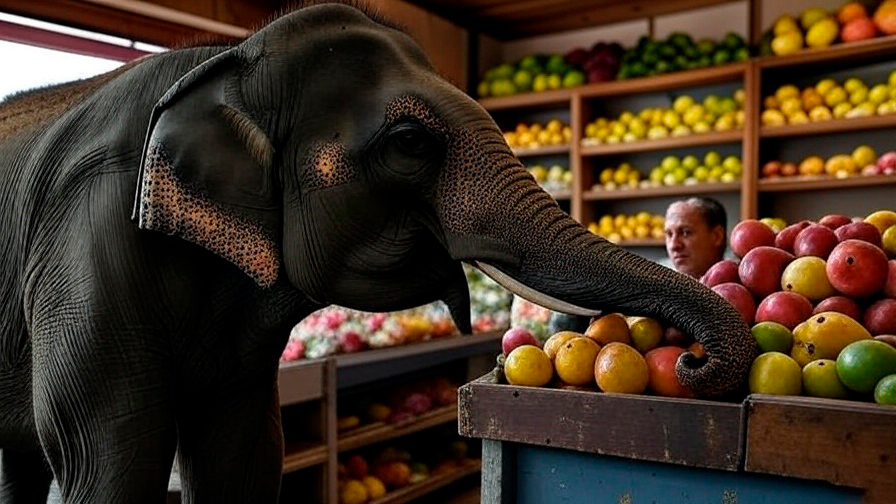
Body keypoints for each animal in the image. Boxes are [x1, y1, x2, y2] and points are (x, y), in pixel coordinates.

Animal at [0, 2, 756, 502]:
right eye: (410, 144)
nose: (689, 358)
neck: (227, 59)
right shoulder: (83, 243)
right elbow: (109, 450)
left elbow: (243, 450)